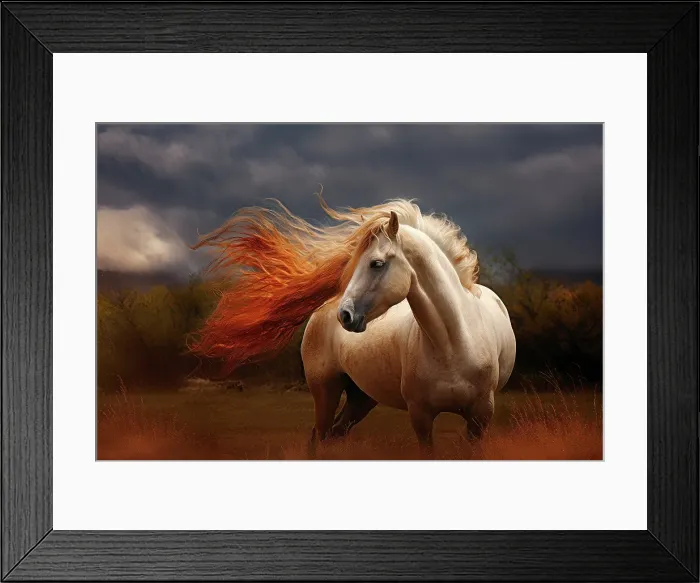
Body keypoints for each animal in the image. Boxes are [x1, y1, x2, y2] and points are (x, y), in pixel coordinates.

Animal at [191, 195, 516, 457]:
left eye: (376, 263)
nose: (345, 315)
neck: (454, 342)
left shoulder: (480, 418)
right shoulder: (421, 417)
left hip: (361, 399)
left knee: (335, 434)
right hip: (326, 391)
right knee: (320, 438)